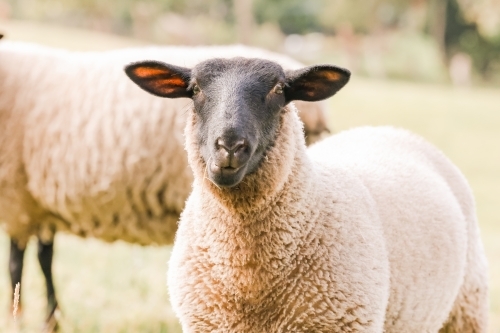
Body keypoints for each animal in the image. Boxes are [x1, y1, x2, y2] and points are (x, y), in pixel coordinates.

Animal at [0, 39, 330, 326]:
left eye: (278, 90)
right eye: (194, 89)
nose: (230, 146)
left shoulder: (18, 199)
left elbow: (16, 265)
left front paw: (19, 320)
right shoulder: (35, 202)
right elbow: (44, 258)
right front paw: (51, 320)